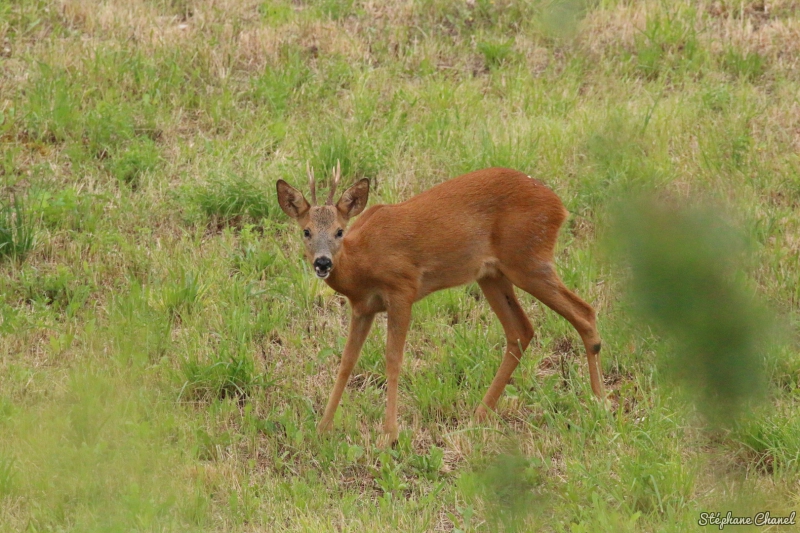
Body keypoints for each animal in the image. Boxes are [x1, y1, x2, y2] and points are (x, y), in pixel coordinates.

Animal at [278, 163, 604, 444]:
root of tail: (559, 206)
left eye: (339, 231)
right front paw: (322, 428)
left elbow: (393, 359)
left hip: (528, 259)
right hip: (492, 274)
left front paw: (389, 435)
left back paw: (599, 403)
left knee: (584, 312)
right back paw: (479, 415)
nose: (323, 263)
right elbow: (346, 362)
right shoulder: (362, 307)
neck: (361, 263)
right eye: (306, 231)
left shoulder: (402, 289)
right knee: (521, 331)